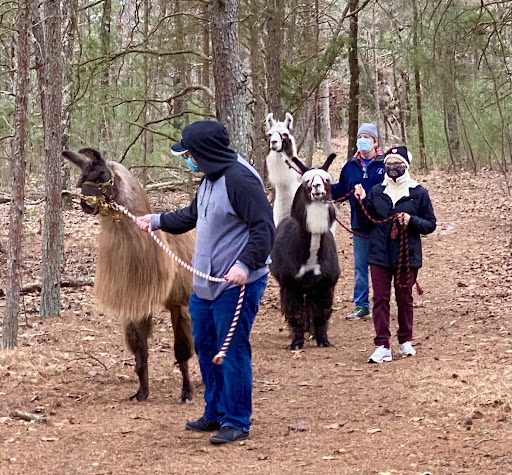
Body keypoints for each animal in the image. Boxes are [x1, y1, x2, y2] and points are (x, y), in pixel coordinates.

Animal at [63, 148, 194, 403]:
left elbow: (181, 350)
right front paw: (141, 393)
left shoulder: (178, 300)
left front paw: (186, 392)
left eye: (102, 174)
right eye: (81, 179)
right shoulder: (134, 301)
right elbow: (140, 353)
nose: (85, 203)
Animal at [270, 153, 340, 350]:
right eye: (306, 180)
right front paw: (296, 343)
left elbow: (321, 313)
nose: (317, 187)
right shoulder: (289, 284)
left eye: (327, 179)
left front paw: (323, 340)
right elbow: (295, 315)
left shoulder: (325, 284)